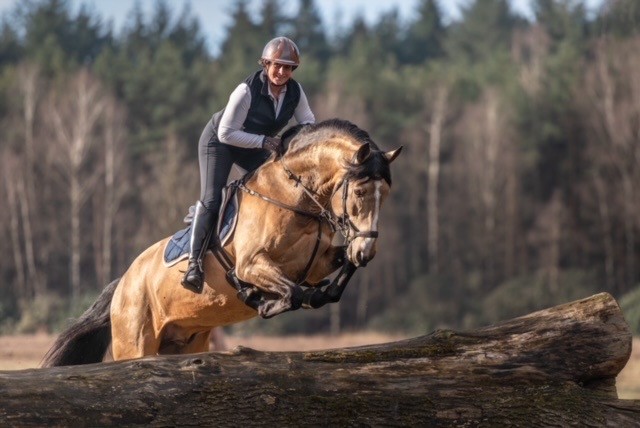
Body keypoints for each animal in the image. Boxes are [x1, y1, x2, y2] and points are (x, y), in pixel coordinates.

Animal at [42, 119, 402, 367]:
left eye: (386, 193)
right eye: (359, 192)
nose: (367, 250)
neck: (295, 199)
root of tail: (123, 284)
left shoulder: (318, 262)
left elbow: (335, 275)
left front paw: (325, 291)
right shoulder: (251, 265)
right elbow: (293, 293)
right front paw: (262, 301)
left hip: (185, 343)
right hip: (134, 341)